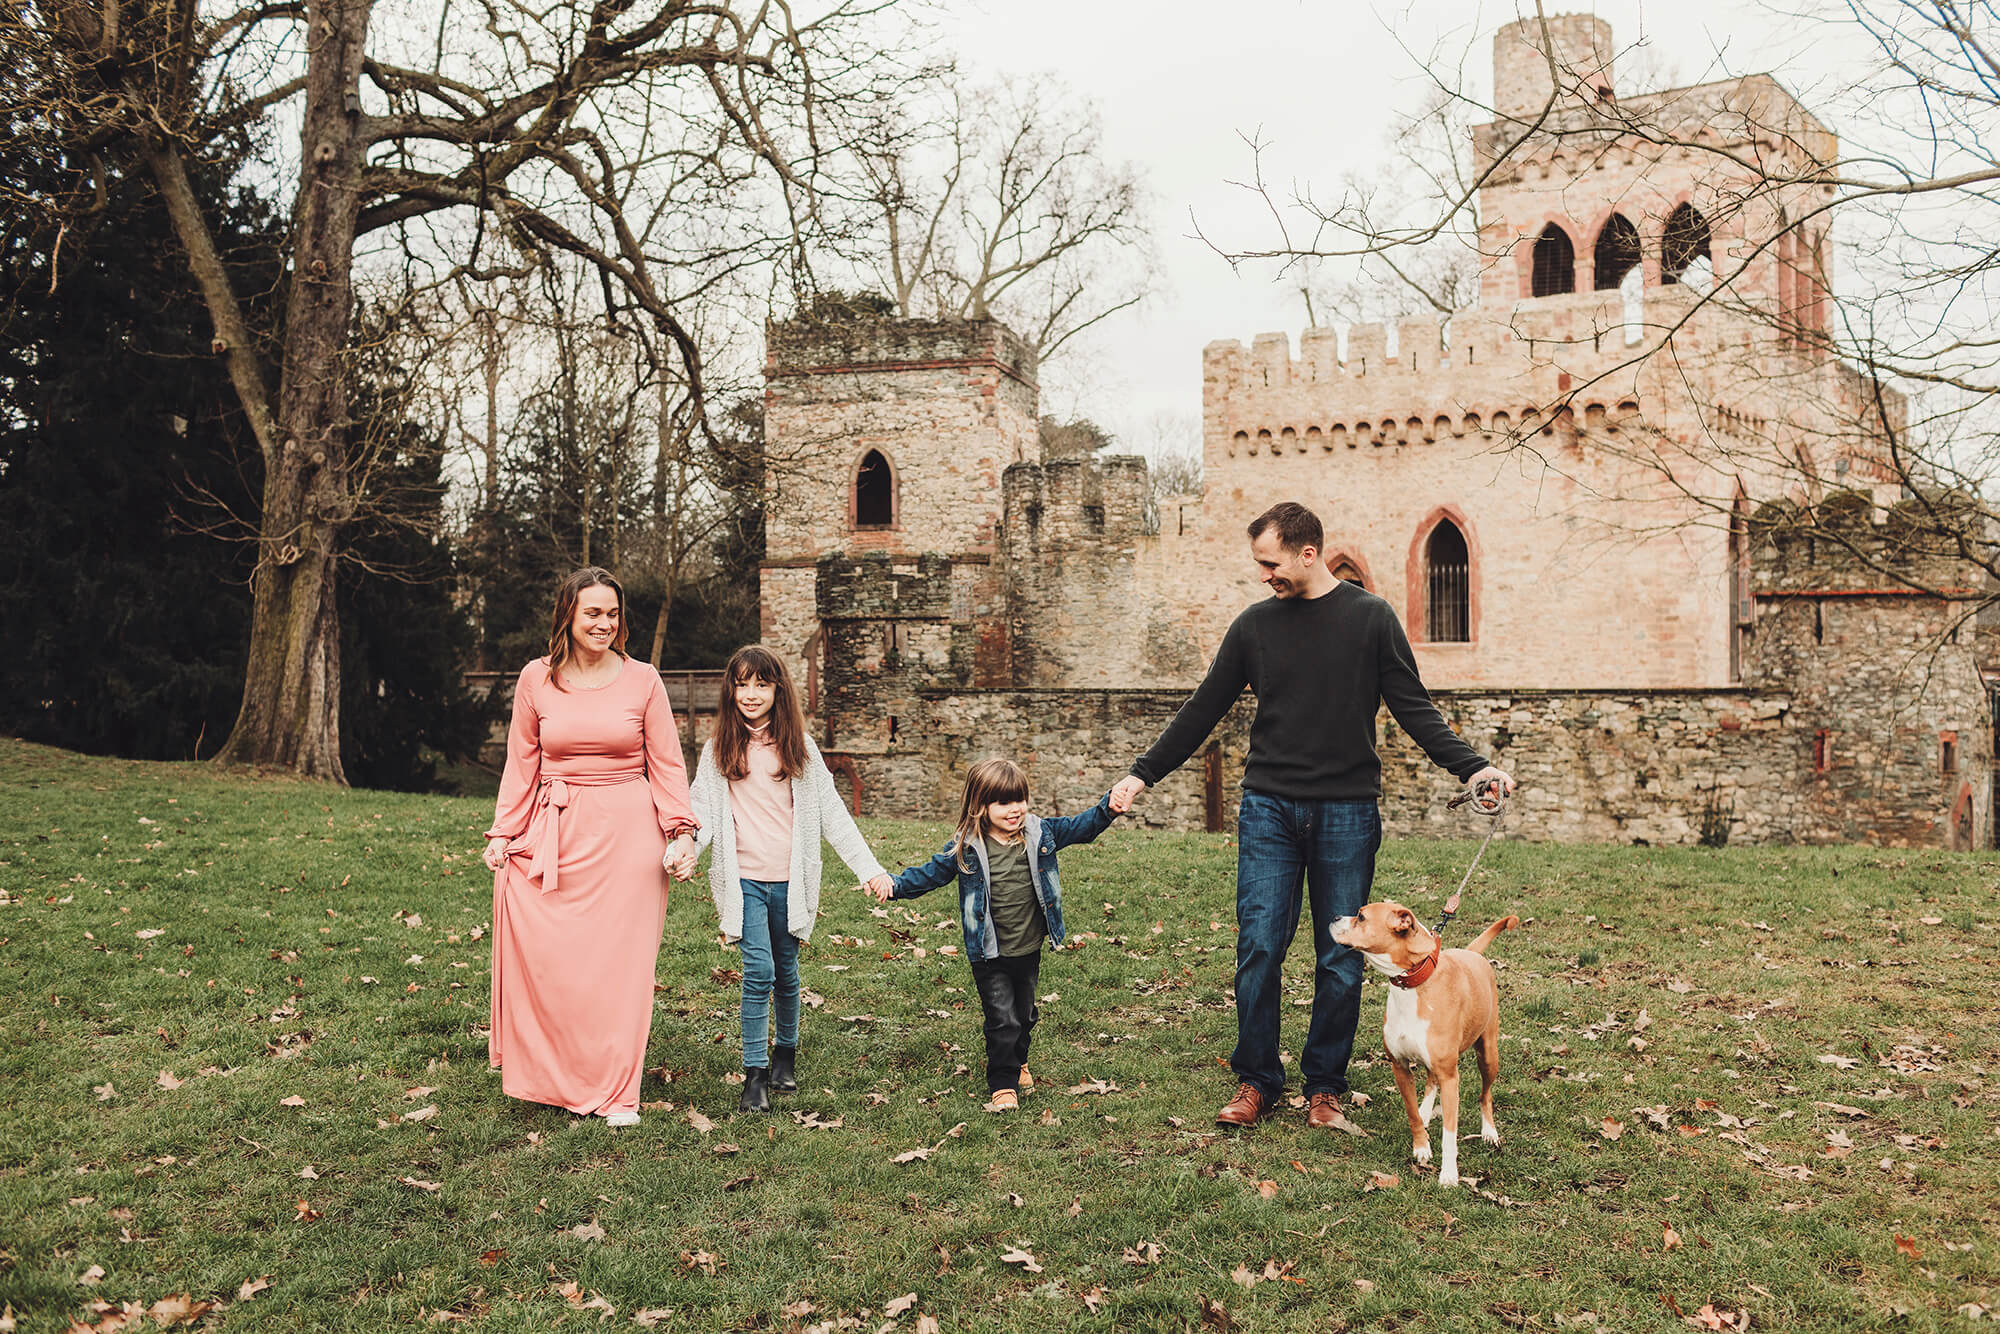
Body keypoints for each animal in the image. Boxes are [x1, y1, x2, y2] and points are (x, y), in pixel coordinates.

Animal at [1328, 908, 1512, 1192]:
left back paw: (1489, 1132)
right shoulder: (1400, 1067)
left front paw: (1449, 1174)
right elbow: (1412, 1113)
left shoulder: (1450, 1077)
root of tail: (1472, 953)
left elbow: (1450, 1134)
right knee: (1431, 1081)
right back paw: (1427, 1112)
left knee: (1485, 1095)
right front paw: (1421, 1146)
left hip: (1488, 1055)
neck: (1412, 985)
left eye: (1361, 916)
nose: (1335, 917)